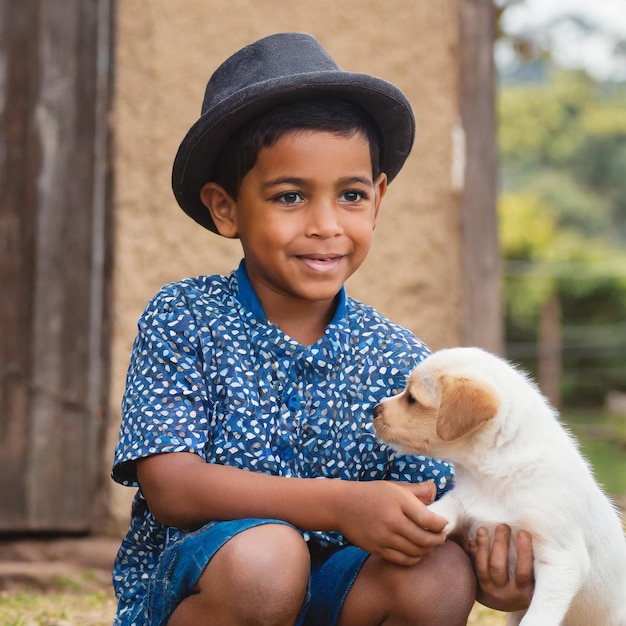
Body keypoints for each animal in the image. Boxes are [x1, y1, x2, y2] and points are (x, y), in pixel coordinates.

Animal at [372, 346, 624, 624]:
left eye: (412, 399)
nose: (374, 410)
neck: (494, 473)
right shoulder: (465, 499)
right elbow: (446, 506)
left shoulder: (561, 558)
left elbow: (537, 617)